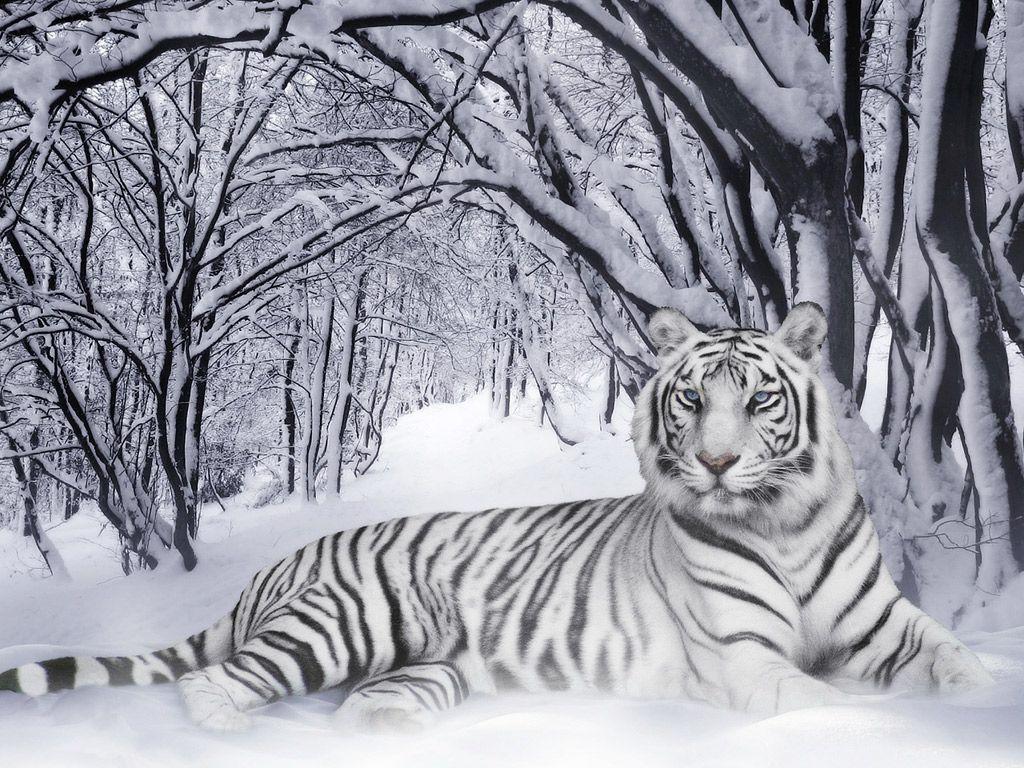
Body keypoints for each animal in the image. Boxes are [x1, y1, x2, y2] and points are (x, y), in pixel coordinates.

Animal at [0, 302, 994, 731]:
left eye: (758, 402)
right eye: (691, 402)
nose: (715, 462)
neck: (781, 523)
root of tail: (272, 570)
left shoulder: (886, 625)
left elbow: (957, 660)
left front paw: (980, 701)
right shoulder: (746, 657)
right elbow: (823, 698)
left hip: (423, 669)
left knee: (360, 705)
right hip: (342, 623)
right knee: (215, 685)